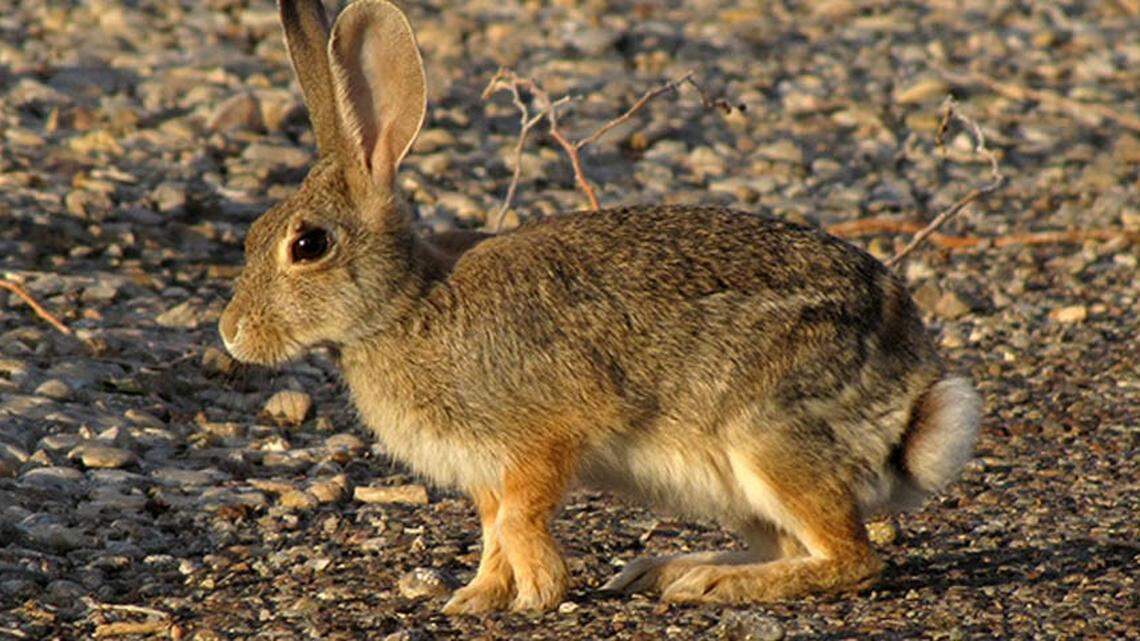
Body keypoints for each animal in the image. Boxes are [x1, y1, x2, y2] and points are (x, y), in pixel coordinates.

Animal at [219, 0, 982, 614]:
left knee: (853, 558)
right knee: (800, 546)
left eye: (308, 245)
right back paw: (670, 570)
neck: (405, 304)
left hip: (771, 438)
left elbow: (520, 519)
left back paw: (716, 585)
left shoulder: (546, 431)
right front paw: (478, 597)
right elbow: (493, 531)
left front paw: (539, 592)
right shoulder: (484, 473)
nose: (231, 335)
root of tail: (909, 394)